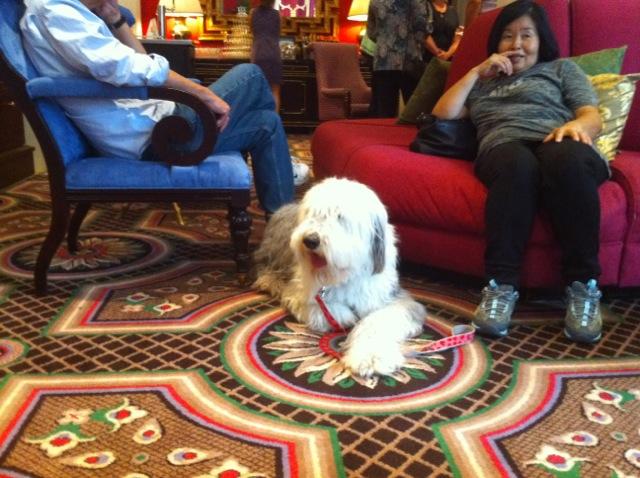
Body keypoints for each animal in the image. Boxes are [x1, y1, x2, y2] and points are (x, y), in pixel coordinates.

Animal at [254, 176, 424, 378]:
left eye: (340, 217)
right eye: (313, 214)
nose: (310, 240)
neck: (344, 274)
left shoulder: (395, 299)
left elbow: (376, 321)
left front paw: (370, 357)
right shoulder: (299, 292)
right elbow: (321, 307)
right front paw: (345, 315)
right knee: (265, 272)